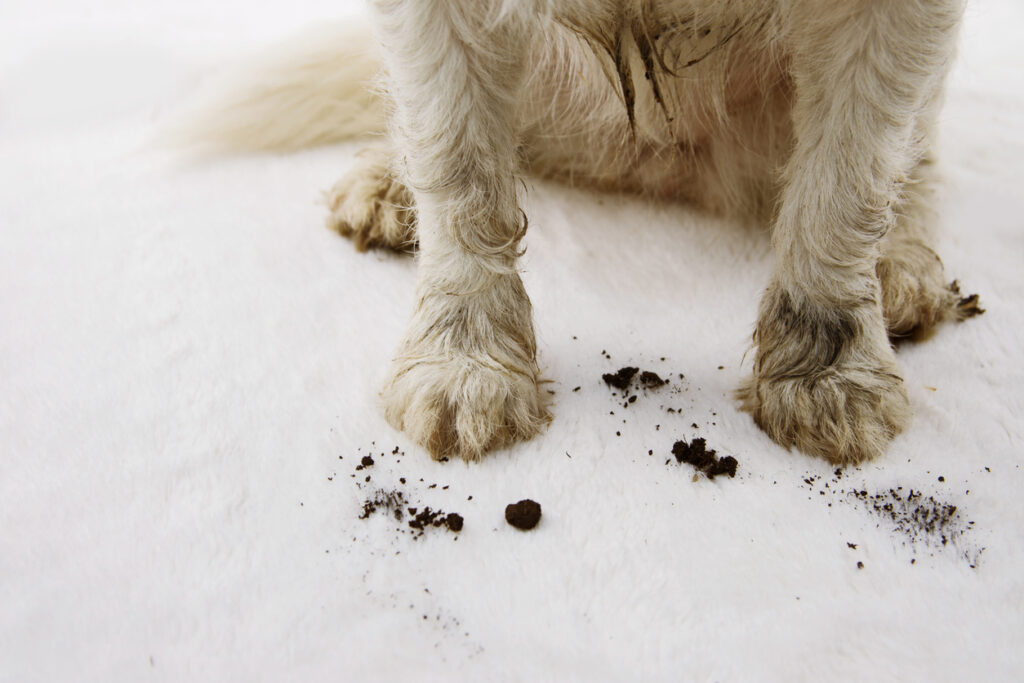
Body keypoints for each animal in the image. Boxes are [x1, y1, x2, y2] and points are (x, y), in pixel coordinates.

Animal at [186, 0, 983, 464]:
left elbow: (847, 178)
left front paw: (829, 373)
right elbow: (456, 161)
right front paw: (464, 364)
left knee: (915, 152)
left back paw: (903, 265)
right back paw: (388, 183)